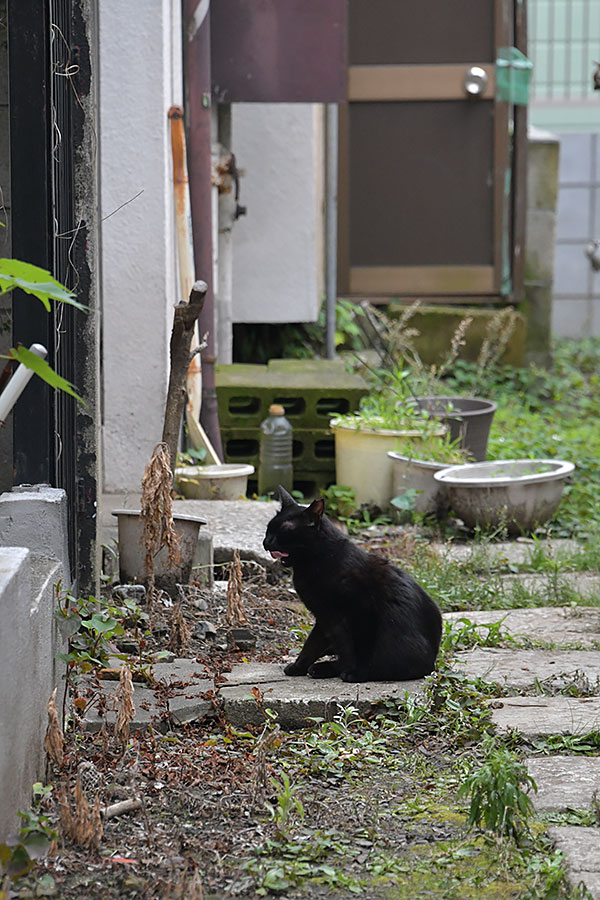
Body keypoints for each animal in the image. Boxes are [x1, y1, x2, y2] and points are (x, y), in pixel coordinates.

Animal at [262, 486, 440, 684]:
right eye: (269, 528)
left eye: (284, 530)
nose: (266, 542)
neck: (318, 560)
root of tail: (433, 661)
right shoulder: (325, 616)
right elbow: (311, 645)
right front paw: (298, 667)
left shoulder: (359, 611)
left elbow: (358, 649)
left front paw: (357, 673)